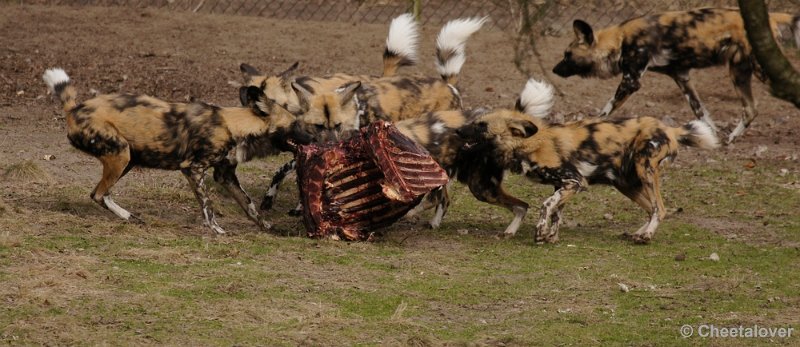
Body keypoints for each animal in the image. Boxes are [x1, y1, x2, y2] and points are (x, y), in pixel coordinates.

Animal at [262, 17, 488, 212]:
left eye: (337, 125)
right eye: (318, 126)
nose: (330, 142)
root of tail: (449, 86)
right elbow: (285, 171)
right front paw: (275, 199)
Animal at [456, 81, 720, 245]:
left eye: (481, 126)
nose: (457, 130)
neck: (530, 144)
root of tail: (671, 129)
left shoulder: (573, 181)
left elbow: (546, 206)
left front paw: (540, 234)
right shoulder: (564, 185)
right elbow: (557, 213)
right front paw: (551, 237)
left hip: (644, 170)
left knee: (660, 208)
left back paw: (645, 237)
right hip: (627, 184)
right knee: (652, 209)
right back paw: (639, 234)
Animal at [552, 8, 800, 144]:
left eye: (567, 55)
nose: (554, 70)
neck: (620, 40)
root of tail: (770, 17)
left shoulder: (631, 81)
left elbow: (604, 111)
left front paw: (587, 125)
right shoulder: (681, 77)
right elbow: (701, 113)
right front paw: (711, 137)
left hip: (758, 70)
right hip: (739, 71)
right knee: (750, 109)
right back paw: (732, 138)